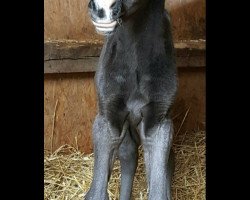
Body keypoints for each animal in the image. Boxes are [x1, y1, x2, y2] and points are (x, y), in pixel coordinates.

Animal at [85, 0, 177, 199]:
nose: (102, 9)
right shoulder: (107, 120)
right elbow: (96, 193)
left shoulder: (158, 124)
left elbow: (159, 191)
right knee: (129, 155)